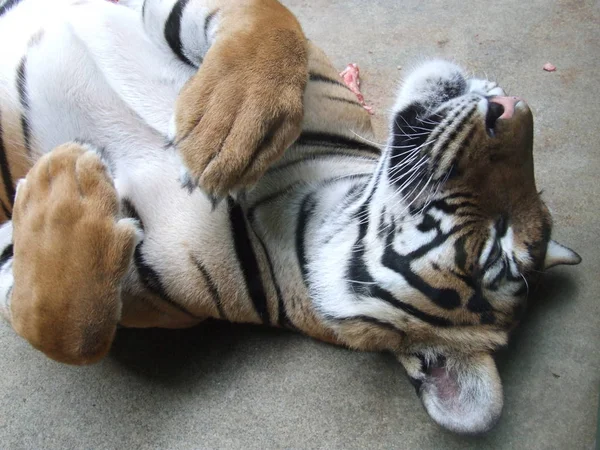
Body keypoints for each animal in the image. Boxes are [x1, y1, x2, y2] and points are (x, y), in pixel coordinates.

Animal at [0, 0, 584, 436]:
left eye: (496, 248)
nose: (513, 107)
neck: (300, 201)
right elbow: (273, 22)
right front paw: (229, 120)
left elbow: (71, 328)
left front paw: (64, 179)